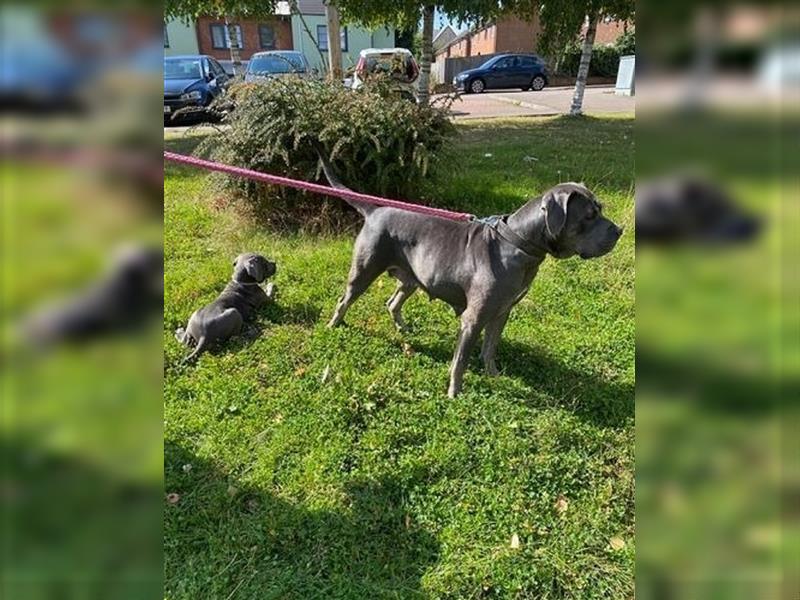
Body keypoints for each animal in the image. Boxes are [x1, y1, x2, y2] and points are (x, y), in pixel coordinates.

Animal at [318, 157, 624, 396]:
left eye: (600, 209)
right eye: (589, 215)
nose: (620, 230)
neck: (517, 244)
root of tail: (376, 209)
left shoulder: (502, 311)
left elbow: (490, 347)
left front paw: (493, 374)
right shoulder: (473, 318)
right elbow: (460, 361)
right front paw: (454, 392)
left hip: (410, 278)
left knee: (393, 302)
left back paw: (403, 329)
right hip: (364, 270)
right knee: (344, 299)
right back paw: (334, 325)